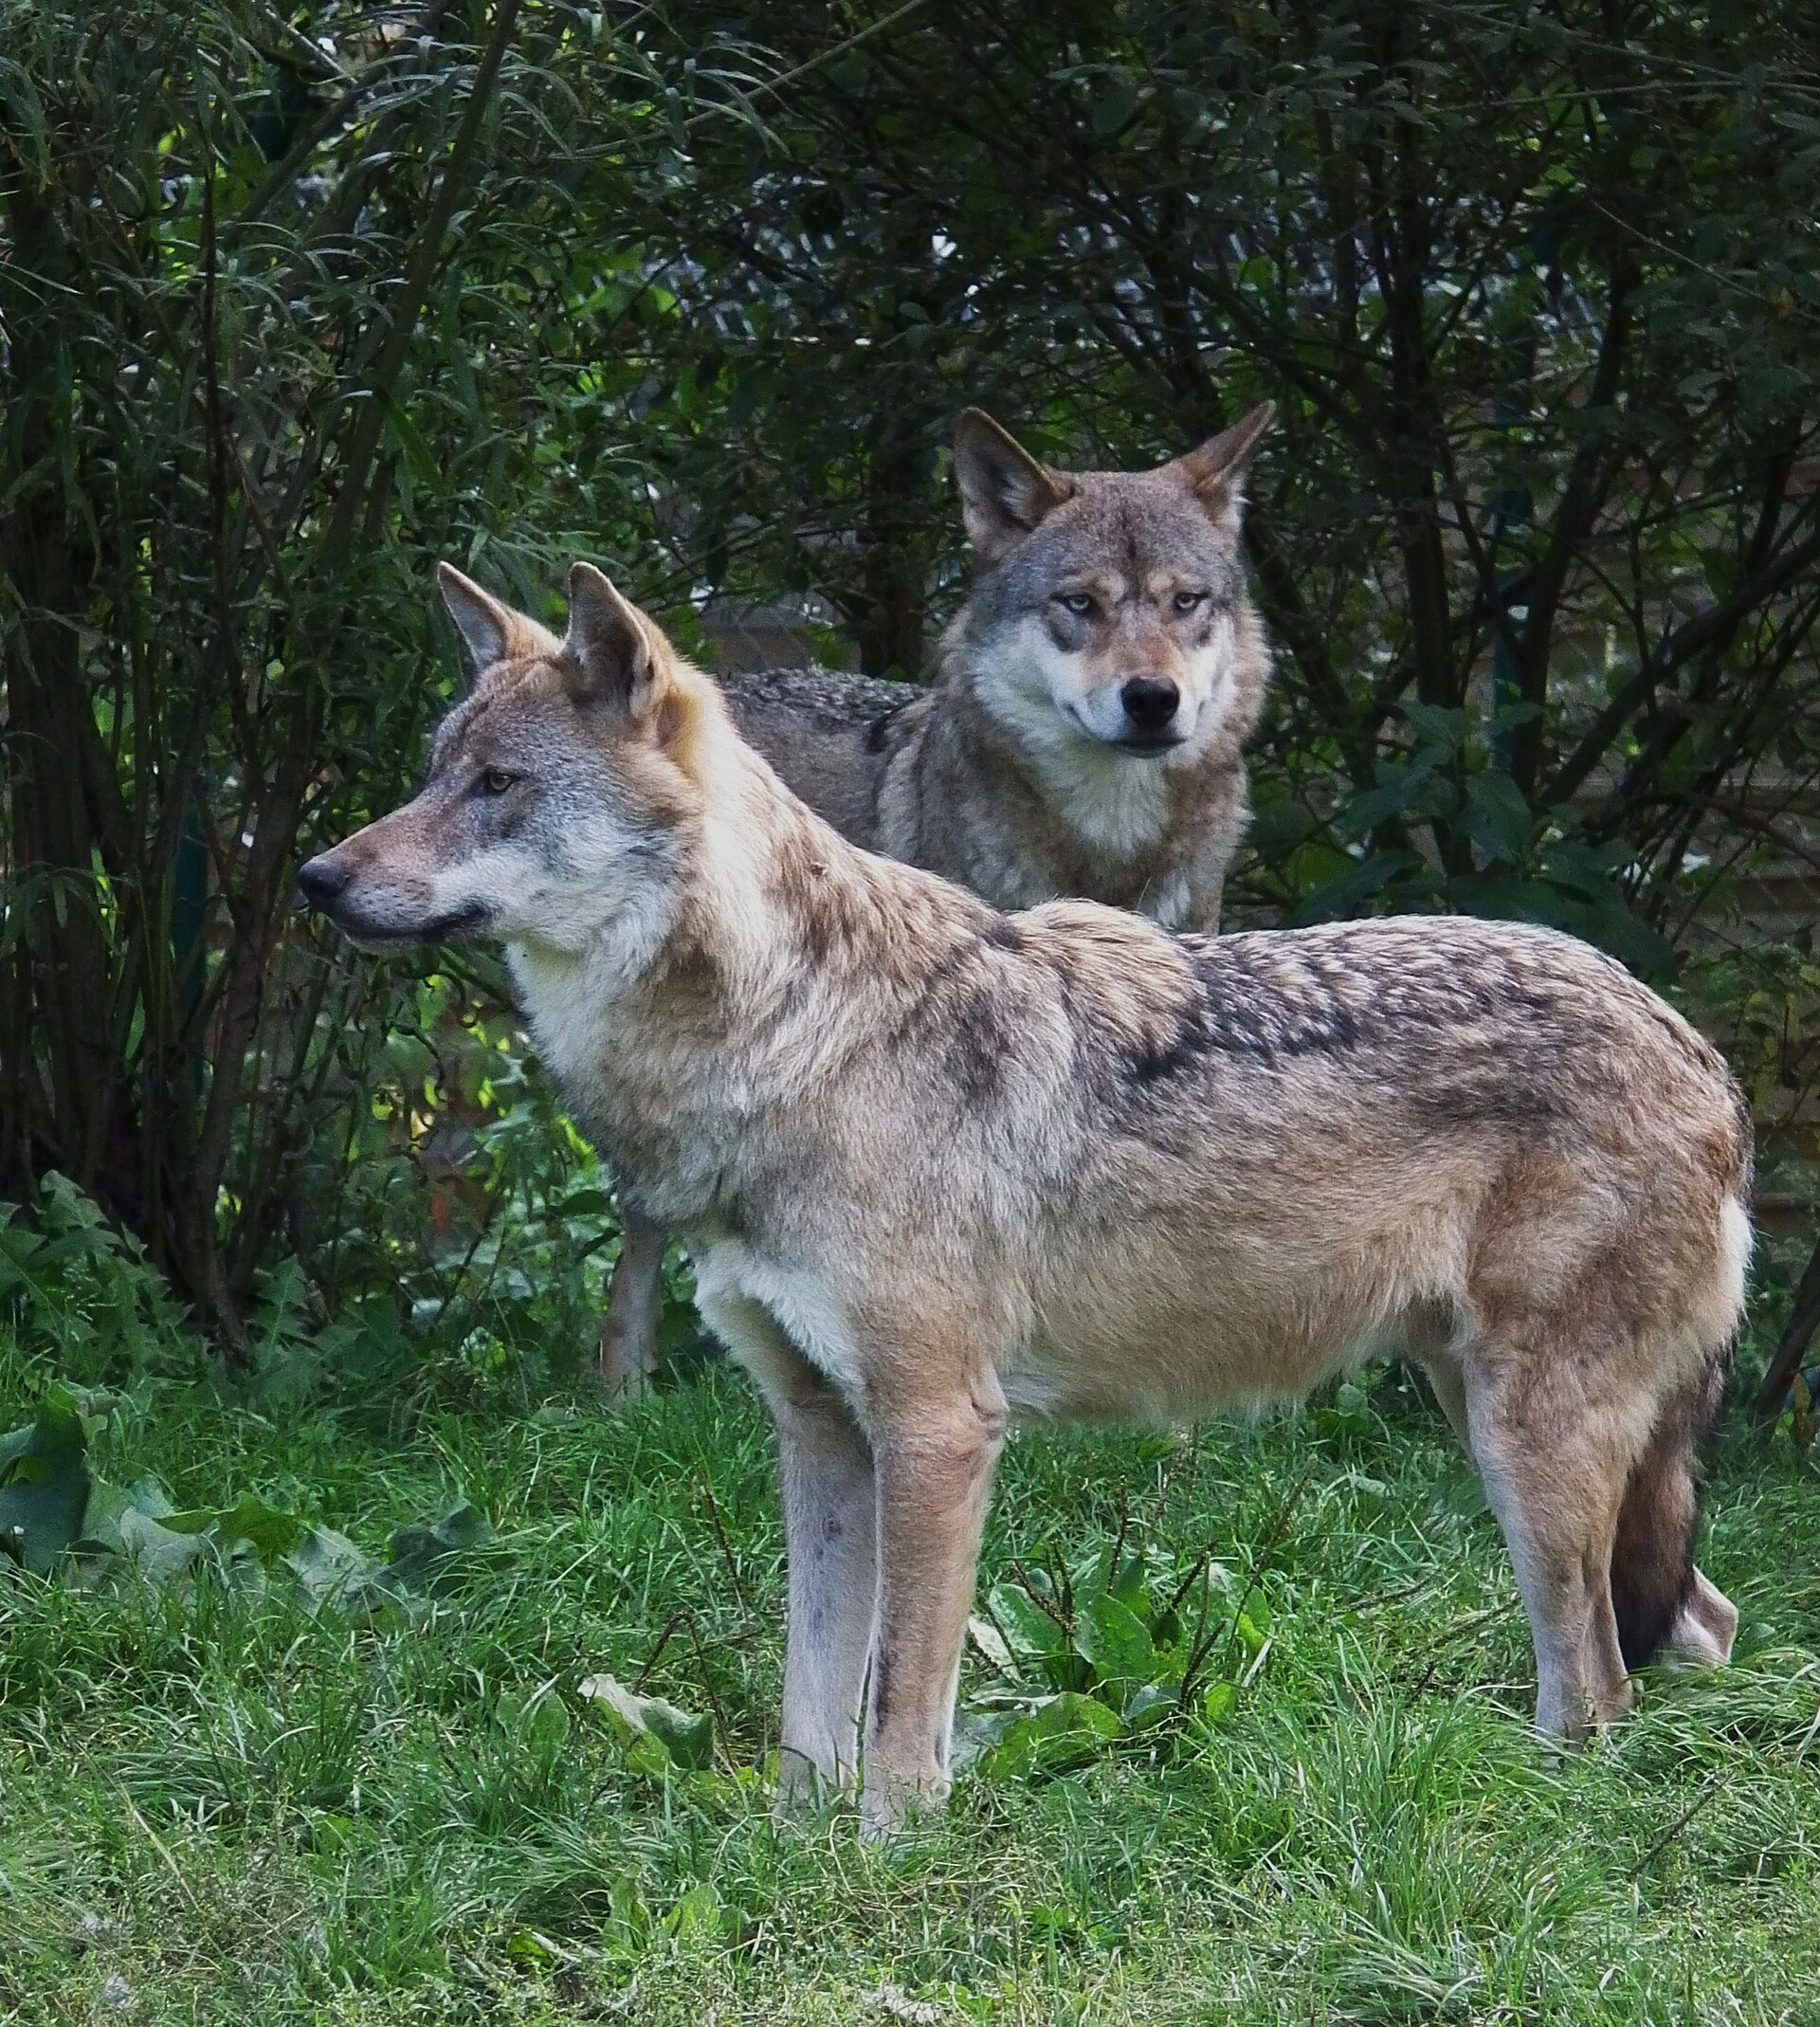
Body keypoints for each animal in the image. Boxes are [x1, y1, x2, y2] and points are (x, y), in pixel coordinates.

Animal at [299, 562, 1747, 1836]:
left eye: (497, 786)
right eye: (432, 772)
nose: (317, 878)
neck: (789, 1034)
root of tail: (1700, 1049)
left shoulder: (938, 1430)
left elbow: (903, 1709)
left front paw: (887, 1859)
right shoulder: (821, 1433)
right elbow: (809, 1704)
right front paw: (788, 1851)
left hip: (1523, 1442)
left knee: (1603, 1683)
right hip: (1486, 1420)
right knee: (1692, 1631)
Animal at [579, 403, 1276, 1391]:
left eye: (1186, 602)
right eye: (1080, 605)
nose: (1152, 698)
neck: (1104, 849)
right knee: (638, 1252)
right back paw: (622, 1395)